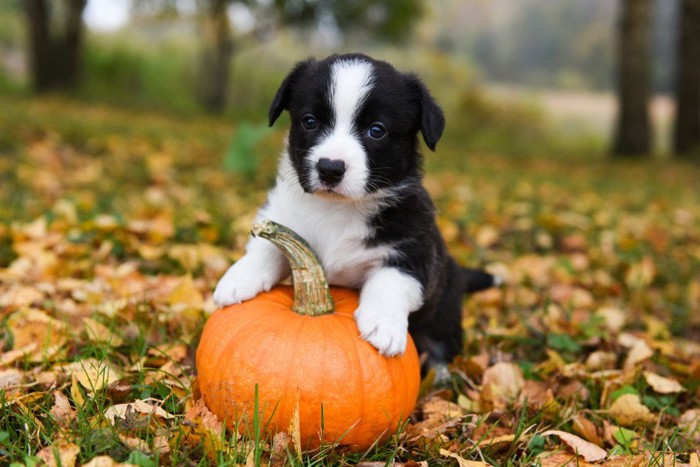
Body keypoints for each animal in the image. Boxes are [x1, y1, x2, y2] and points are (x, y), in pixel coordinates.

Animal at [213, 52, 498, 372]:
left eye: (376, 130)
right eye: (309, 122)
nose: (330, 168)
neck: (337, 209)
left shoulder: (415, 248)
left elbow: (391, 279)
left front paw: (383, 324)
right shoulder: (281, 214)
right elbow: (269, 246)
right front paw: (238, 278)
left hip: (443, 311)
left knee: (441, 347)